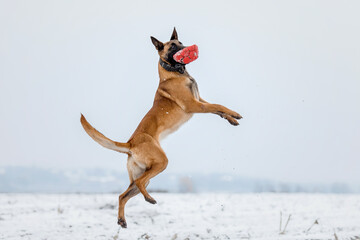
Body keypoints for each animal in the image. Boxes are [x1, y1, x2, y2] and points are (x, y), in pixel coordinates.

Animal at [81, 27, 242, 227]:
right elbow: (218, 106)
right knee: (139, 184)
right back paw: (149, 199)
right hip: (160, 163)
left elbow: (218, 109)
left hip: (144, 173)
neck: (175, 73)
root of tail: (130, 143)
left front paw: (232, 119)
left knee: (122, 195)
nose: (186, 48)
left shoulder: (200, 100)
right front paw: (235, 113)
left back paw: (122, 219)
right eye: (172, 46)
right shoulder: (194, 105)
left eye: (181, 42)